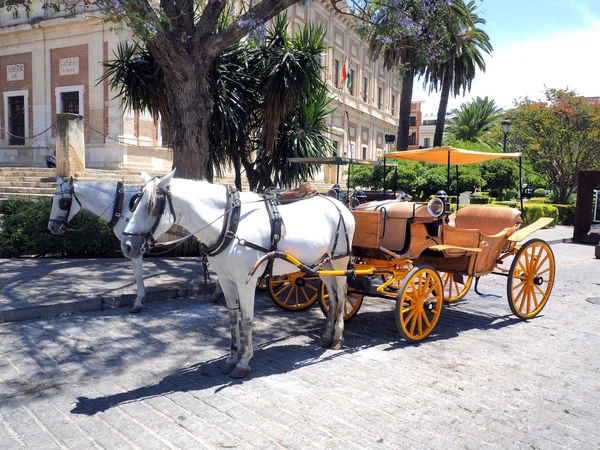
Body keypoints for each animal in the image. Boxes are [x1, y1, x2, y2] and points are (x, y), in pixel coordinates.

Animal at [122, 171, 356, 378]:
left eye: (152, 207)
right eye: (135, 202)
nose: (126, 246)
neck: (230, 224)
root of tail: (340, 205)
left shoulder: (246, 282)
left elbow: (248, 319)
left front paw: (244, 362)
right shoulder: (226, 281)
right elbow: (233, 318)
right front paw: (232, 358)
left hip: (340, 260)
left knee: (342, 294)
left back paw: (338, 337)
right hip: (323, 264)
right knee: (332, 296)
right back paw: (327, 335)